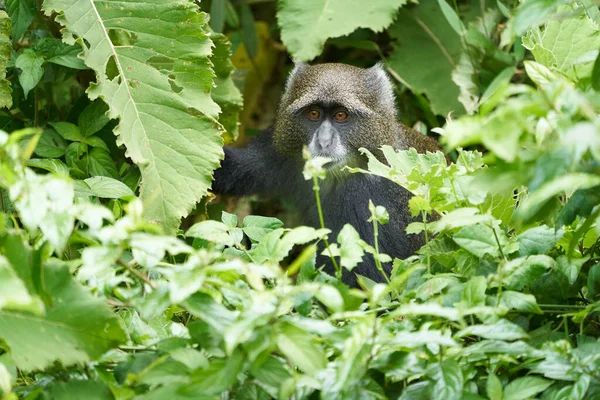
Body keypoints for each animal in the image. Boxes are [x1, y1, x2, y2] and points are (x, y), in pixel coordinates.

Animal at [213, 62, 442, 286]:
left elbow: (371, 281)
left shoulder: (364, 197)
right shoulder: (279, 151)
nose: (323, 141)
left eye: (341, 115)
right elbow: (235, 168)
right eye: (313, 114)